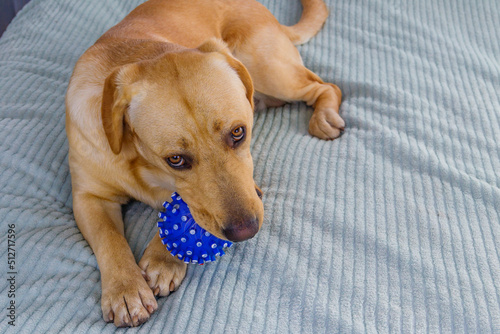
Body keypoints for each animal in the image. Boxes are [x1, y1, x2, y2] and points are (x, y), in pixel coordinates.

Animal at [64, 0, 342, 328]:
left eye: (238, 132)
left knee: (325, 86)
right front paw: (125, 288)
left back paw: (324, 116)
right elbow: (110, 240)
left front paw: (163, 258)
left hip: (270, 70)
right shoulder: (89, 197)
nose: (246, 231)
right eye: (175, 159)